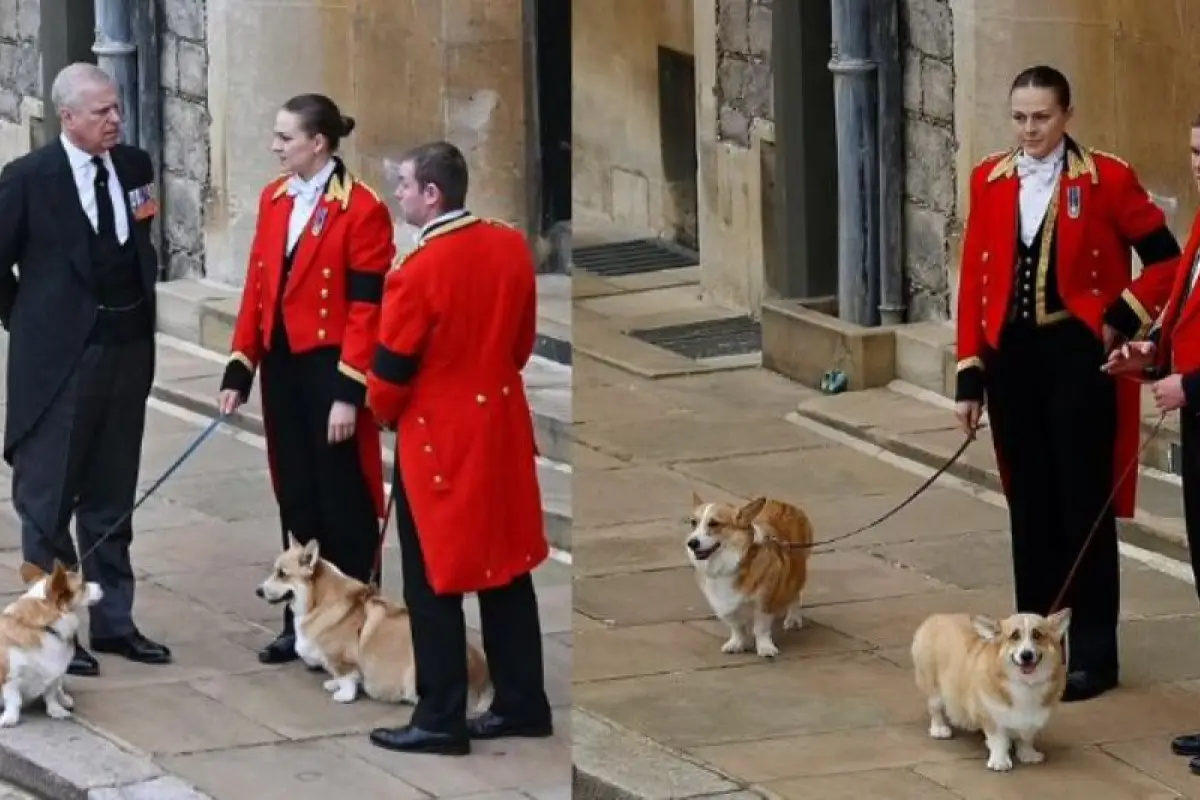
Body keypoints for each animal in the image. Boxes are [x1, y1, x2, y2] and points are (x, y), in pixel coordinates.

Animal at [0, 563, 103, 724]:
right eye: (83, 585)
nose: (100, 585)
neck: (46, 626)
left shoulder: (55, 673)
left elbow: (51, 694)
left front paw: (55, 710)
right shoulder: (10, 675)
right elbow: (14, 699)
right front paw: (10, 718)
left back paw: (64, 699)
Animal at [256, 534, 492, 710]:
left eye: (282, 574)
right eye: (275, 571)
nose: (258, 591)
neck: (318, 600)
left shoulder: (343, 659)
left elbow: (347, 678)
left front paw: (344, 695)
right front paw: (333, 684)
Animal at [691, 494, 811, 657]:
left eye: (714, 523)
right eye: (693, 523)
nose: (691, 543)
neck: (732, 561)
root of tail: (784, 504)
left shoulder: (764, 602)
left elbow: (760, 628)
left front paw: (765, 648)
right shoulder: (724, 605)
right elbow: (736, 627)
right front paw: (736, 644)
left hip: (797, 571)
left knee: (795, 593)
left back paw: (793, 618)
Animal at [912, 609, 1075, 772]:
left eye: (1037, 635)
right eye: (1014, 636)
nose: (1026, 655)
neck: (1025, 684)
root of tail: (935, 618)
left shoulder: (1033, 719)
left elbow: (1027, 739)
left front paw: (1028, 755)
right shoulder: (992, 717)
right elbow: (999, 741)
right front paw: (1000, 762)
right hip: (935, 690)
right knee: (935, 709)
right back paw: (939, 729)